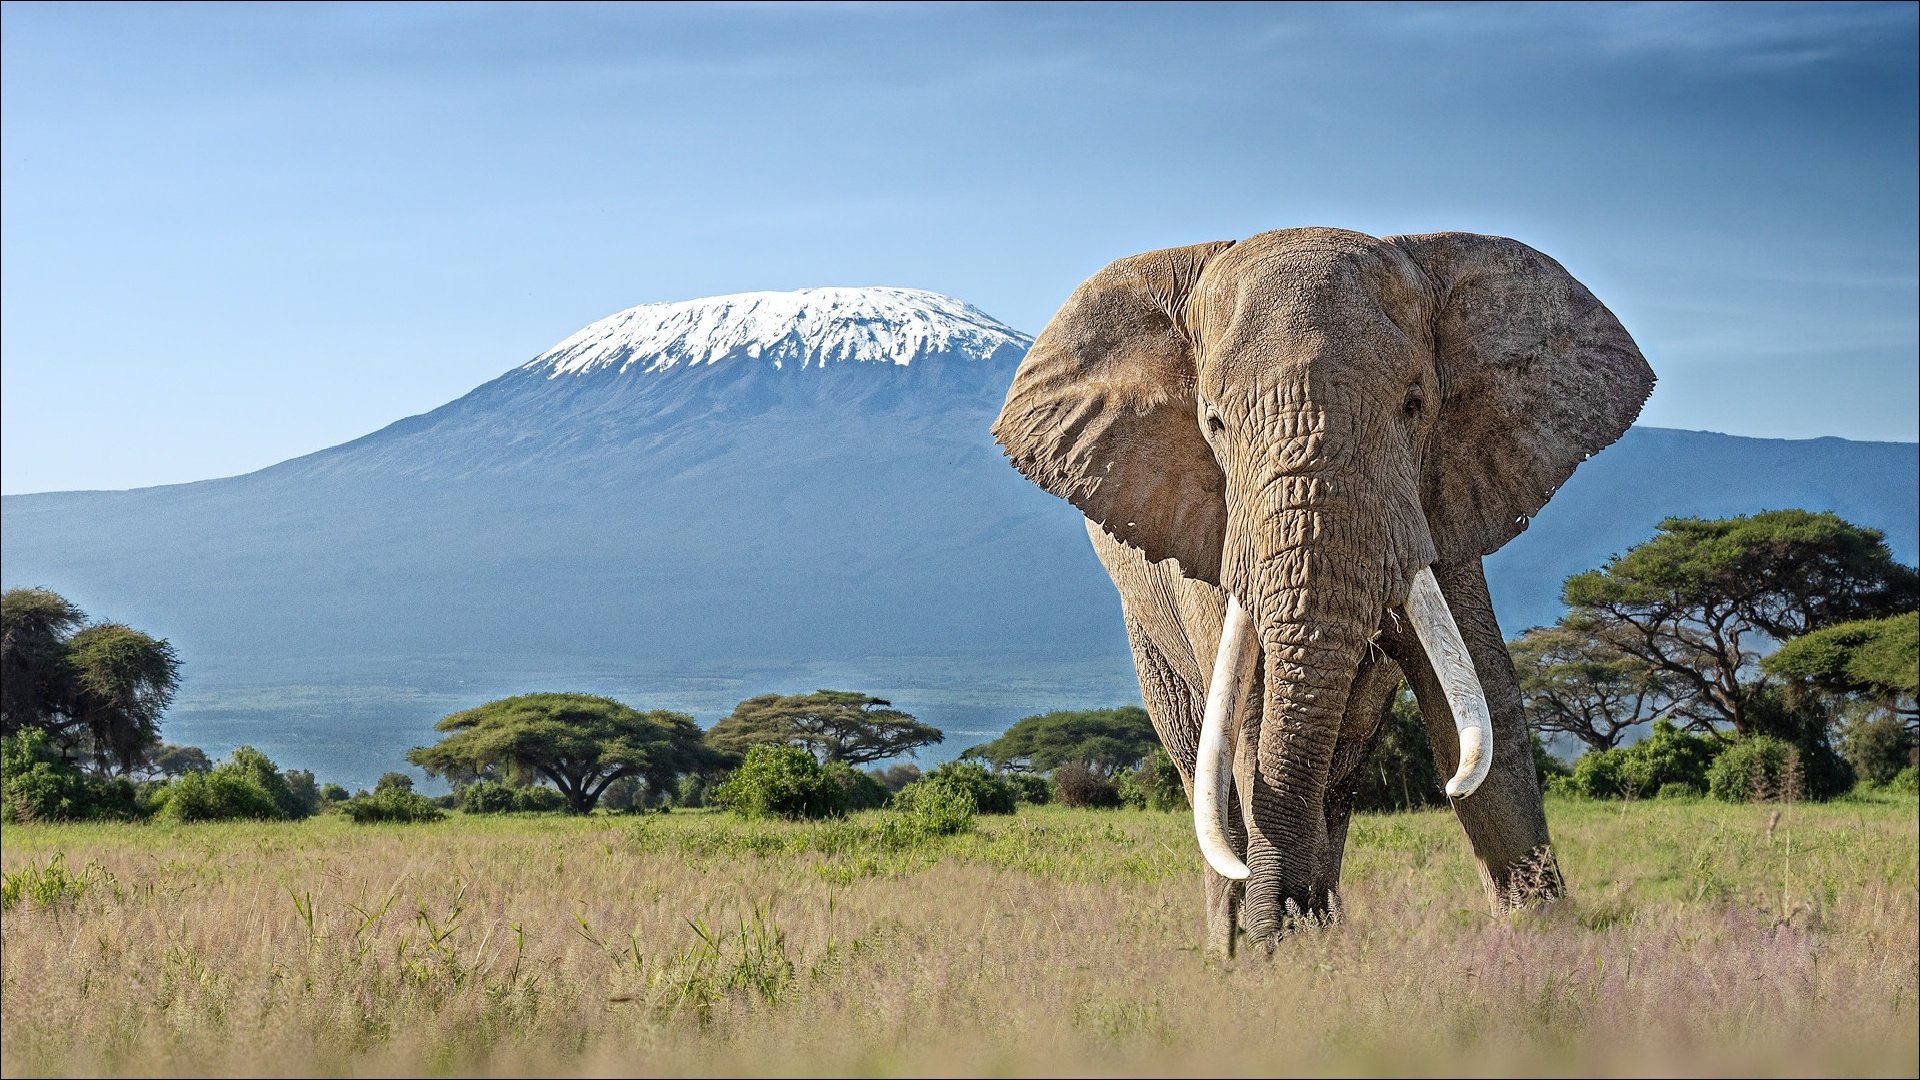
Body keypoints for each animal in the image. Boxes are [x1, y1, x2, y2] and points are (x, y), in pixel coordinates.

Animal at [990, 227, 1652, 955]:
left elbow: (1484, 699)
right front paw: (1274, 958)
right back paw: (1234, 941)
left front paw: (1545, 949)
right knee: (1204, 765)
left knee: (1338, 773)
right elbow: (1251, 718)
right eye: (1214, 423)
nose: (1275, 933)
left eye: (1415, 404)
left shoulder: (1445, 493)